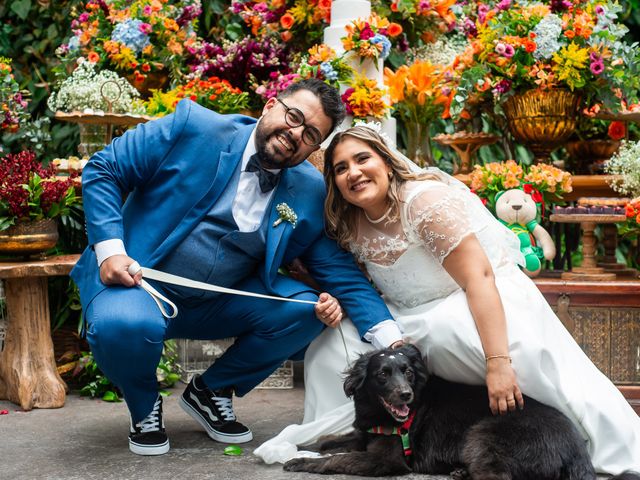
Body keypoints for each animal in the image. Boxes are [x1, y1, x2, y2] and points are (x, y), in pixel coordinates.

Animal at [286, 346, 640, 478]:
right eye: (382, 374)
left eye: (408, 372)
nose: (406, 395)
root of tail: (577, 446)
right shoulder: (362, 435)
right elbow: (328, 440)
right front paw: (300, 446)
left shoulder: (386, 460)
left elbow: (336, 459)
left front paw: (300, 463)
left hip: (482, 436)